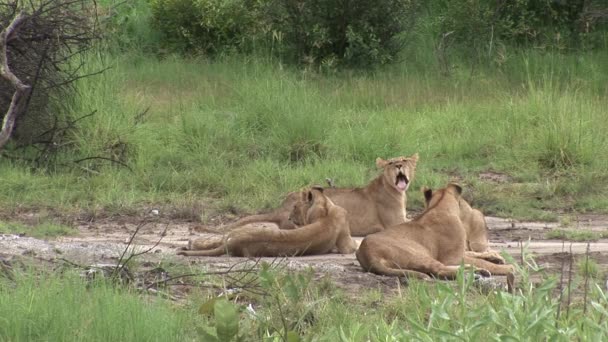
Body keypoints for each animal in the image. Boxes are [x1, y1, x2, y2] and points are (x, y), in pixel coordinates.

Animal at [176, 187, 356, 256]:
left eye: (295, 207)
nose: (289, 218)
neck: (325, 210)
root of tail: (236, 242)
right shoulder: (346, 245)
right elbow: (351, 246)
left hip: (235, 235)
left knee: (219, 240)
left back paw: (188, 245)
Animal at [223, 154, 418, 236]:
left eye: (405, 160)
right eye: (391, 163)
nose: (399, 165)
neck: (397, 192)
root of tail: (280, 208)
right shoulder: (394, 223)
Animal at [356, 184, 512, 292]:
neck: (439, 206)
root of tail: (367, 253)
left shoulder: (459, 252)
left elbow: (475, 254)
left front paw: (495, 257)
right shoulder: (452, 257)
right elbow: (482, 261)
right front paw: (508, 267)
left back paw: (476, 271)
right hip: (418, 254)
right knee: (439, 271)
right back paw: (478, 272)